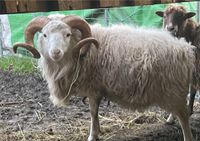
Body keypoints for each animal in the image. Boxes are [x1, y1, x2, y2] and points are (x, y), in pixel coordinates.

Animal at [13, 14, 196, 141]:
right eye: (44, 35)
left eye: (67, 34)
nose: (55, 52)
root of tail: (185, 48)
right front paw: (98, 131)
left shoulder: (93, 88)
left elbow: (93, 112)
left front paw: (92, 135)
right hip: (174, 90)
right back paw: (170, 119)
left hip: (173, 89)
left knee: (184, 116)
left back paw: (186, 135)